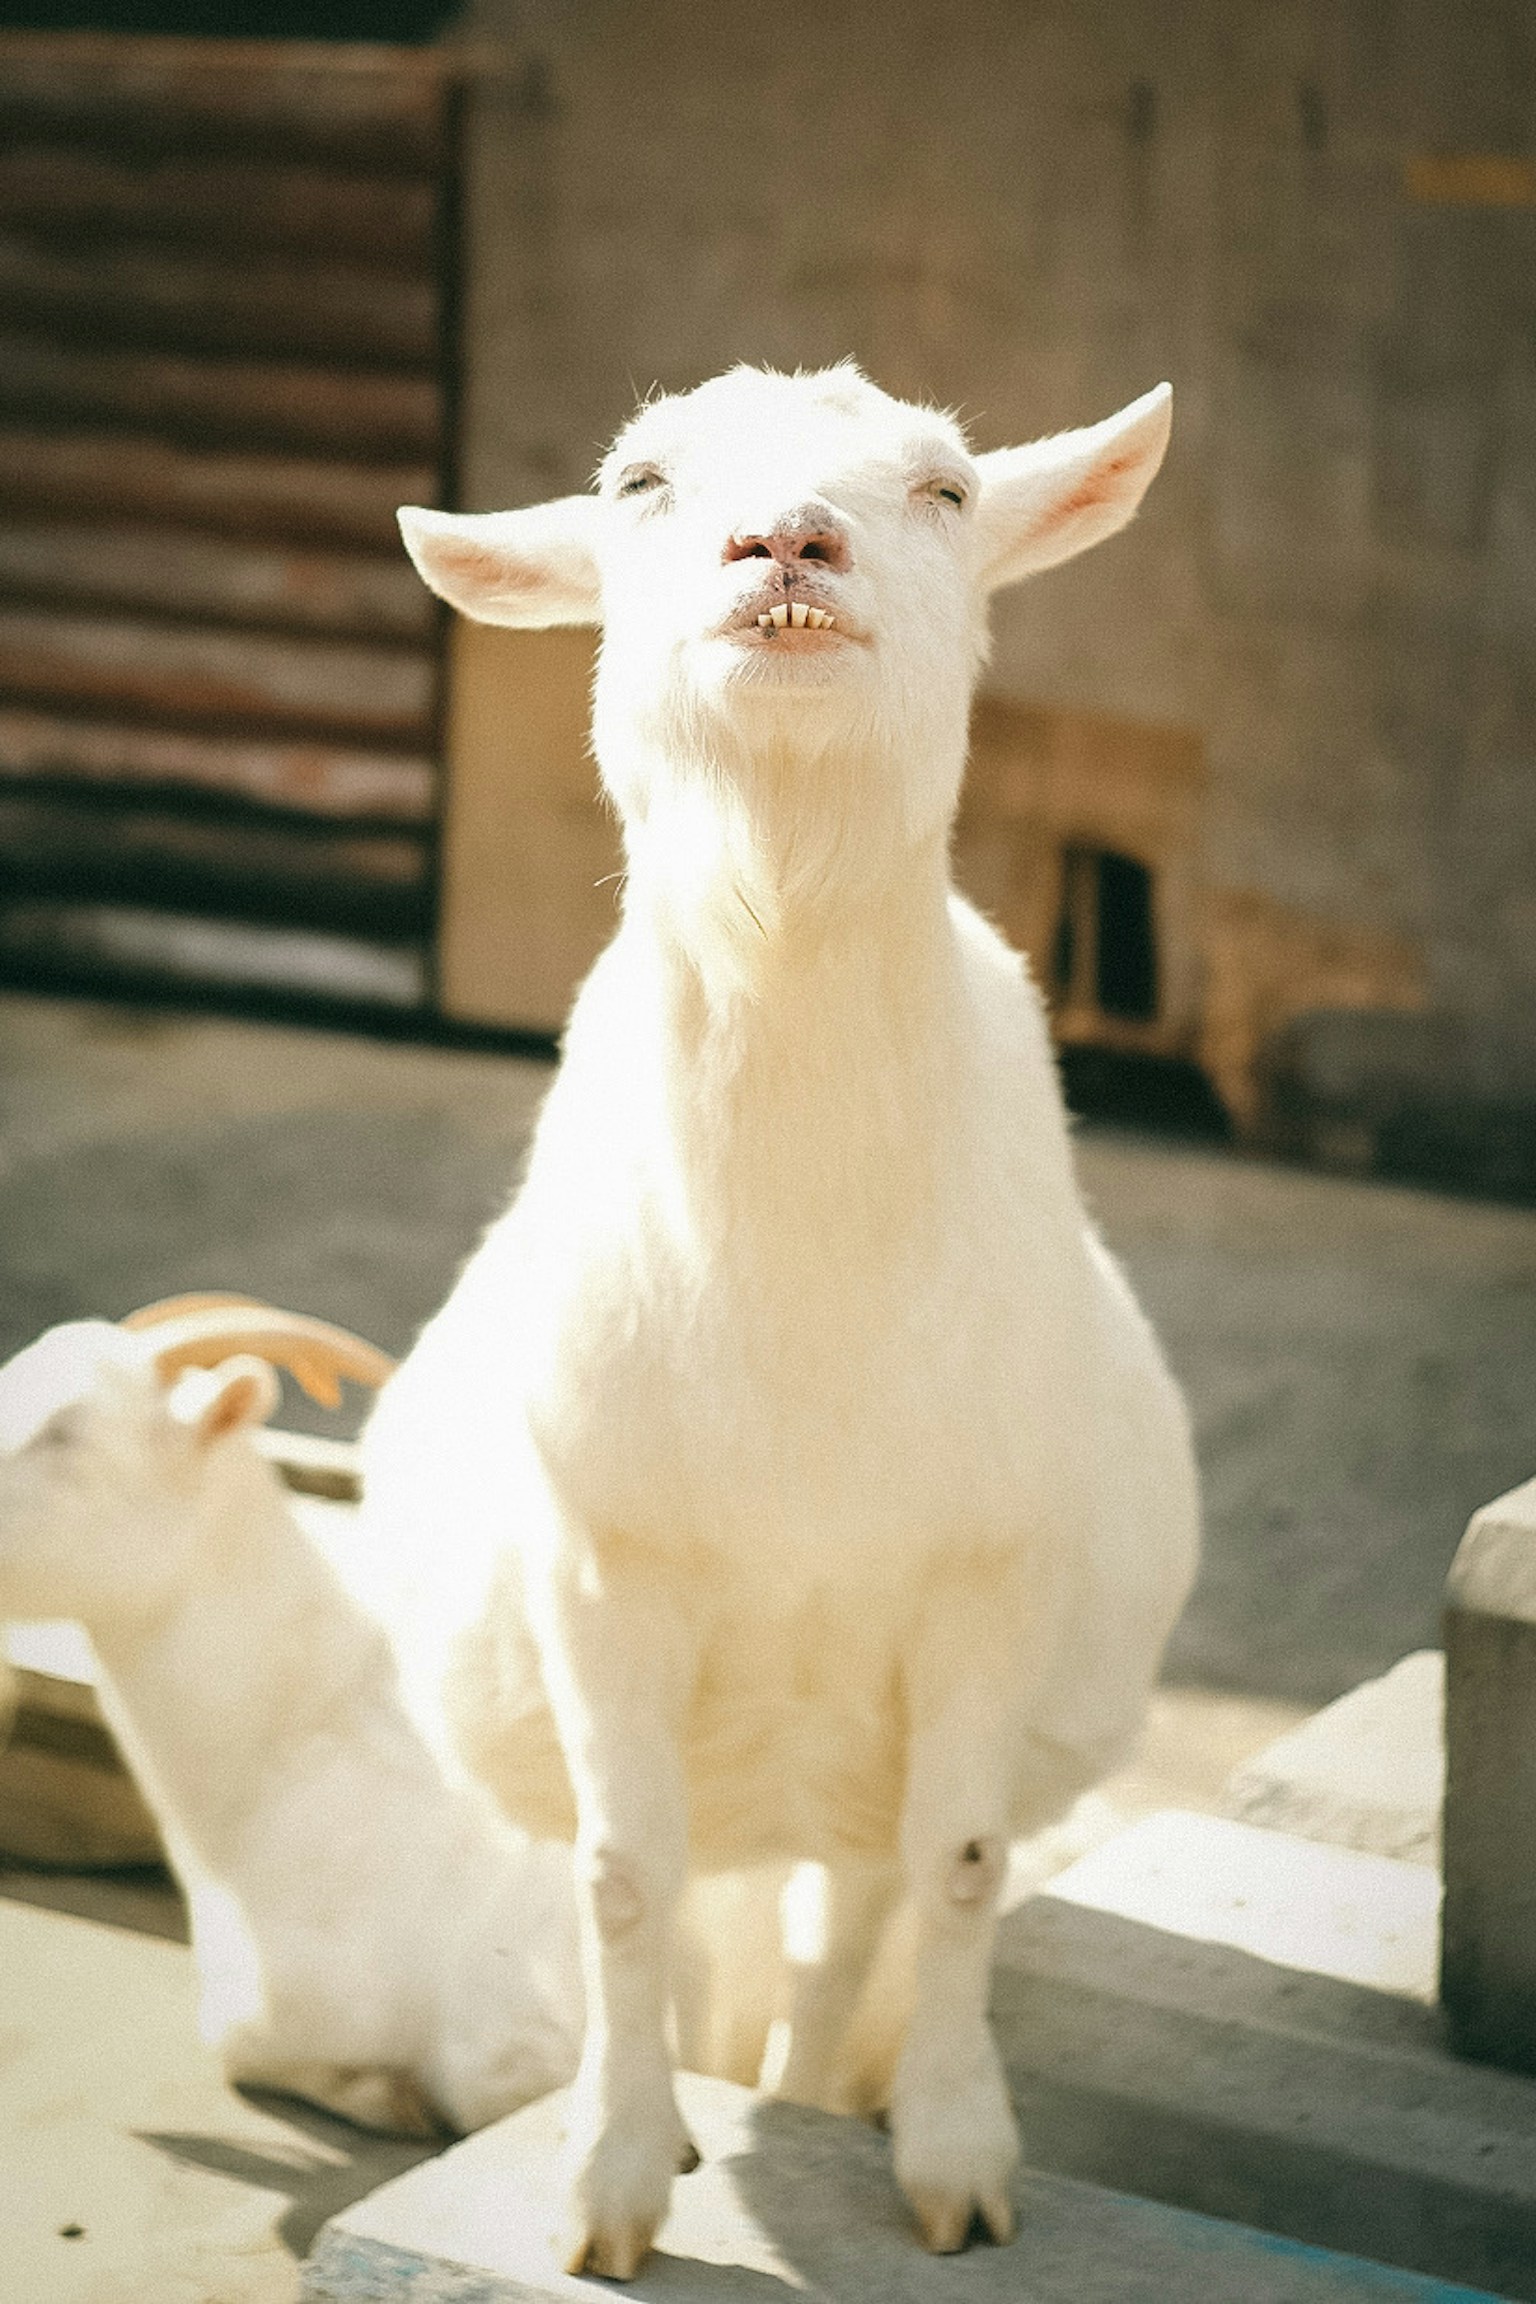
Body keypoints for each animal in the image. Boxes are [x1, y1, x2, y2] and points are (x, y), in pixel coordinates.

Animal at [378, 362, 1201, 2274]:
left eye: (950, 490)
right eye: (637, 483)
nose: (789, 547)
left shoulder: (989, 1567)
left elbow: (966, 1869)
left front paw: (958, 2163)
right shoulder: (605, 1559)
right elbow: (617, 1882)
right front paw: (608, 2184)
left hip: (855, 1756)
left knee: (846, 1923)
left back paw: (821, 2093)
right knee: (685, 1906)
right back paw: (687, 2102)